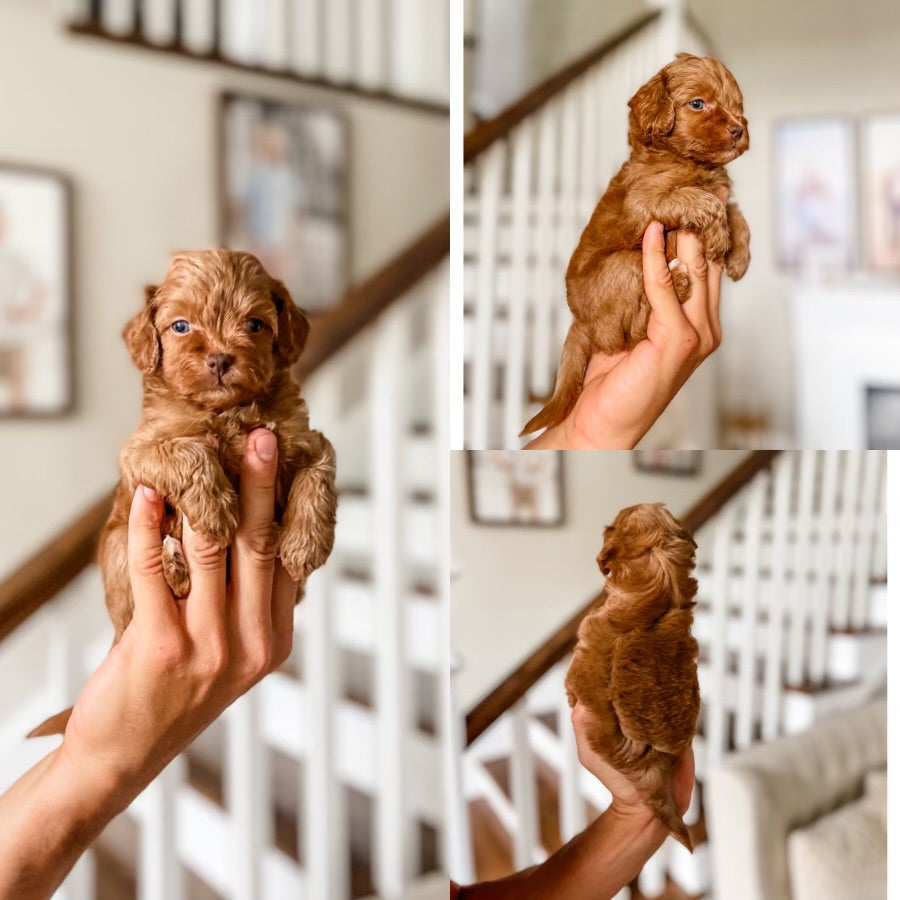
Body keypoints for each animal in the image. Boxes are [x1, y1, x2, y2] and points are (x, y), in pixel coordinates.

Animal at [30, 250, 338, 736]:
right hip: (117, 548)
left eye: (255, 324)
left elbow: (319, 475)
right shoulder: (140, 451)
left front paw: (305, 543)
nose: (219, 359)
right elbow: (188, 451)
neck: (226, 410)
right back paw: (174, 561)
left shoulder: (305, 439)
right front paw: (215, 509)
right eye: (180, 326)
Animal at [524, 54, 748, 438]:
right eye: (698, 104)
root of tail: (579, 322)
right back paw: (680, 281)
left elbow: (736, 211)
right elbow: (704, 201)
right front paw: (720, 239)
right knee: (630, 335)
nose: (738, 129)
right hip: (624, 265)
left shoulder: (718, 187)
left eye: (737, 106)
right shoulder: (647, 200)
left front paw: (740, 257)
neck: (691, 162)